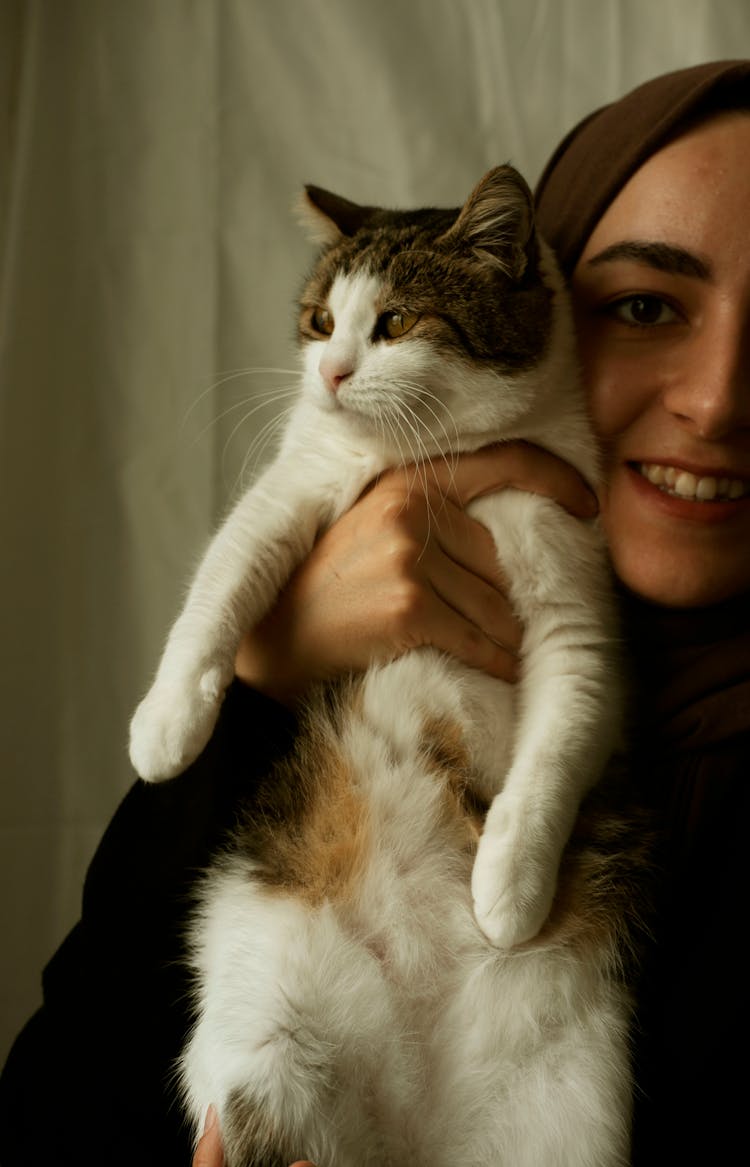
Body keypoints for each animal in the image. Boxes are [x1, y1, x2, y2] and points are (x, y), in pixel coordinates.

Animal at [128, 166, 643, 1167]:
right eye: (321, 320)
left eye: (396, 322)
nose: (330, 373)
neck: (437, 462)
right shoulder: (294, 485)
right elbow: (222, 579)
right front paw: (167, 724)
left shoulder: (578, 607)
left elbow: (557, 749)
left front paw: (508, 888)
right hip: (271, 1041)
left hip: (566, 1116)